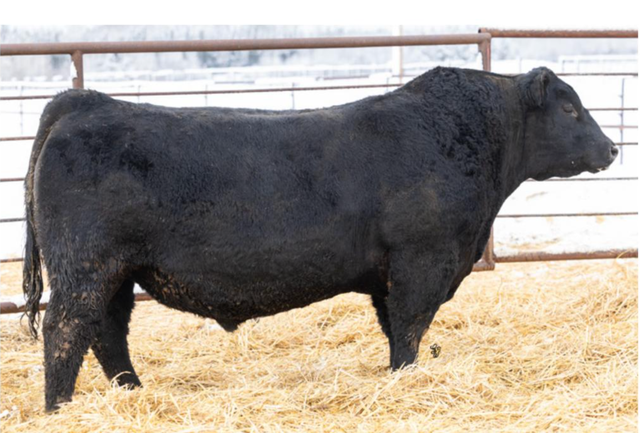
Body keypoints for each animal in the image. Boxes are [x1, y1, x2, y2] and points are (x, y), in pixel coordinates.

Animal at [22, 66, 618, 411]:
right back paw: (60, 408)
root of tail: (87, 103)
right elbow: (409, 330)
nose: (612, 148)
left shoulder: (390, 275)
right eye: (570, 107)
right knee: (65, 329)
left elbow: (395, 330)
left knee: (107, 333)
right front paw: (405, 381)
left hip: (116, 272)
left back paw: (132, 395)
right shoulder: (422, 263)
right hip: (85, 265)